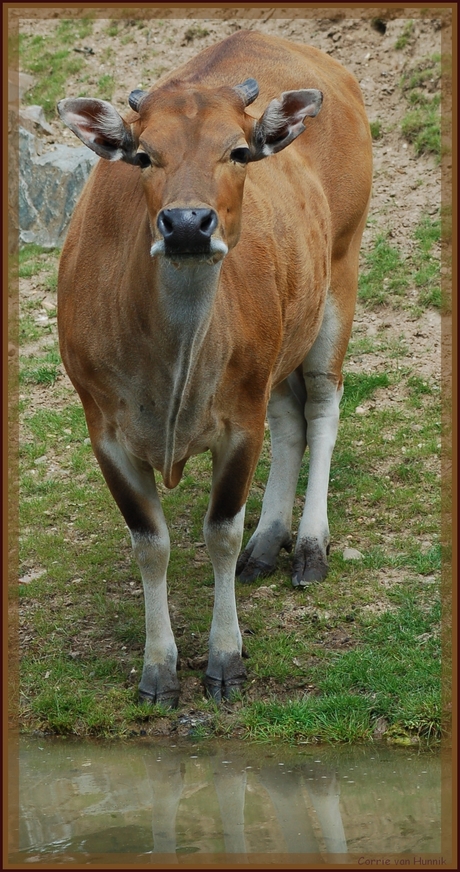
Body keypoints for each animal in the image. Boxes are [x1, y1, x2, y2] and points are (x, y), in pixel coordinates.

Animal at [58, 29, 374, 708]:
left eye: (238, 151)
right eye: (143, 155)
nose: (186, 225)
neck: (169, 367)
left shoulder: (239, 423)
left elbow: (219, 532)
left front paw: (225, 658)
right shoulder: (104, 432)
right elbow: (150, 543)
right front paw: (158, 669)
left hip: (340, 276)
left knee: (322, 409)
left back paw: (309, 546)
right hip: (284, 336)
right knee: (291, 420)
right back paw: (269, 541)